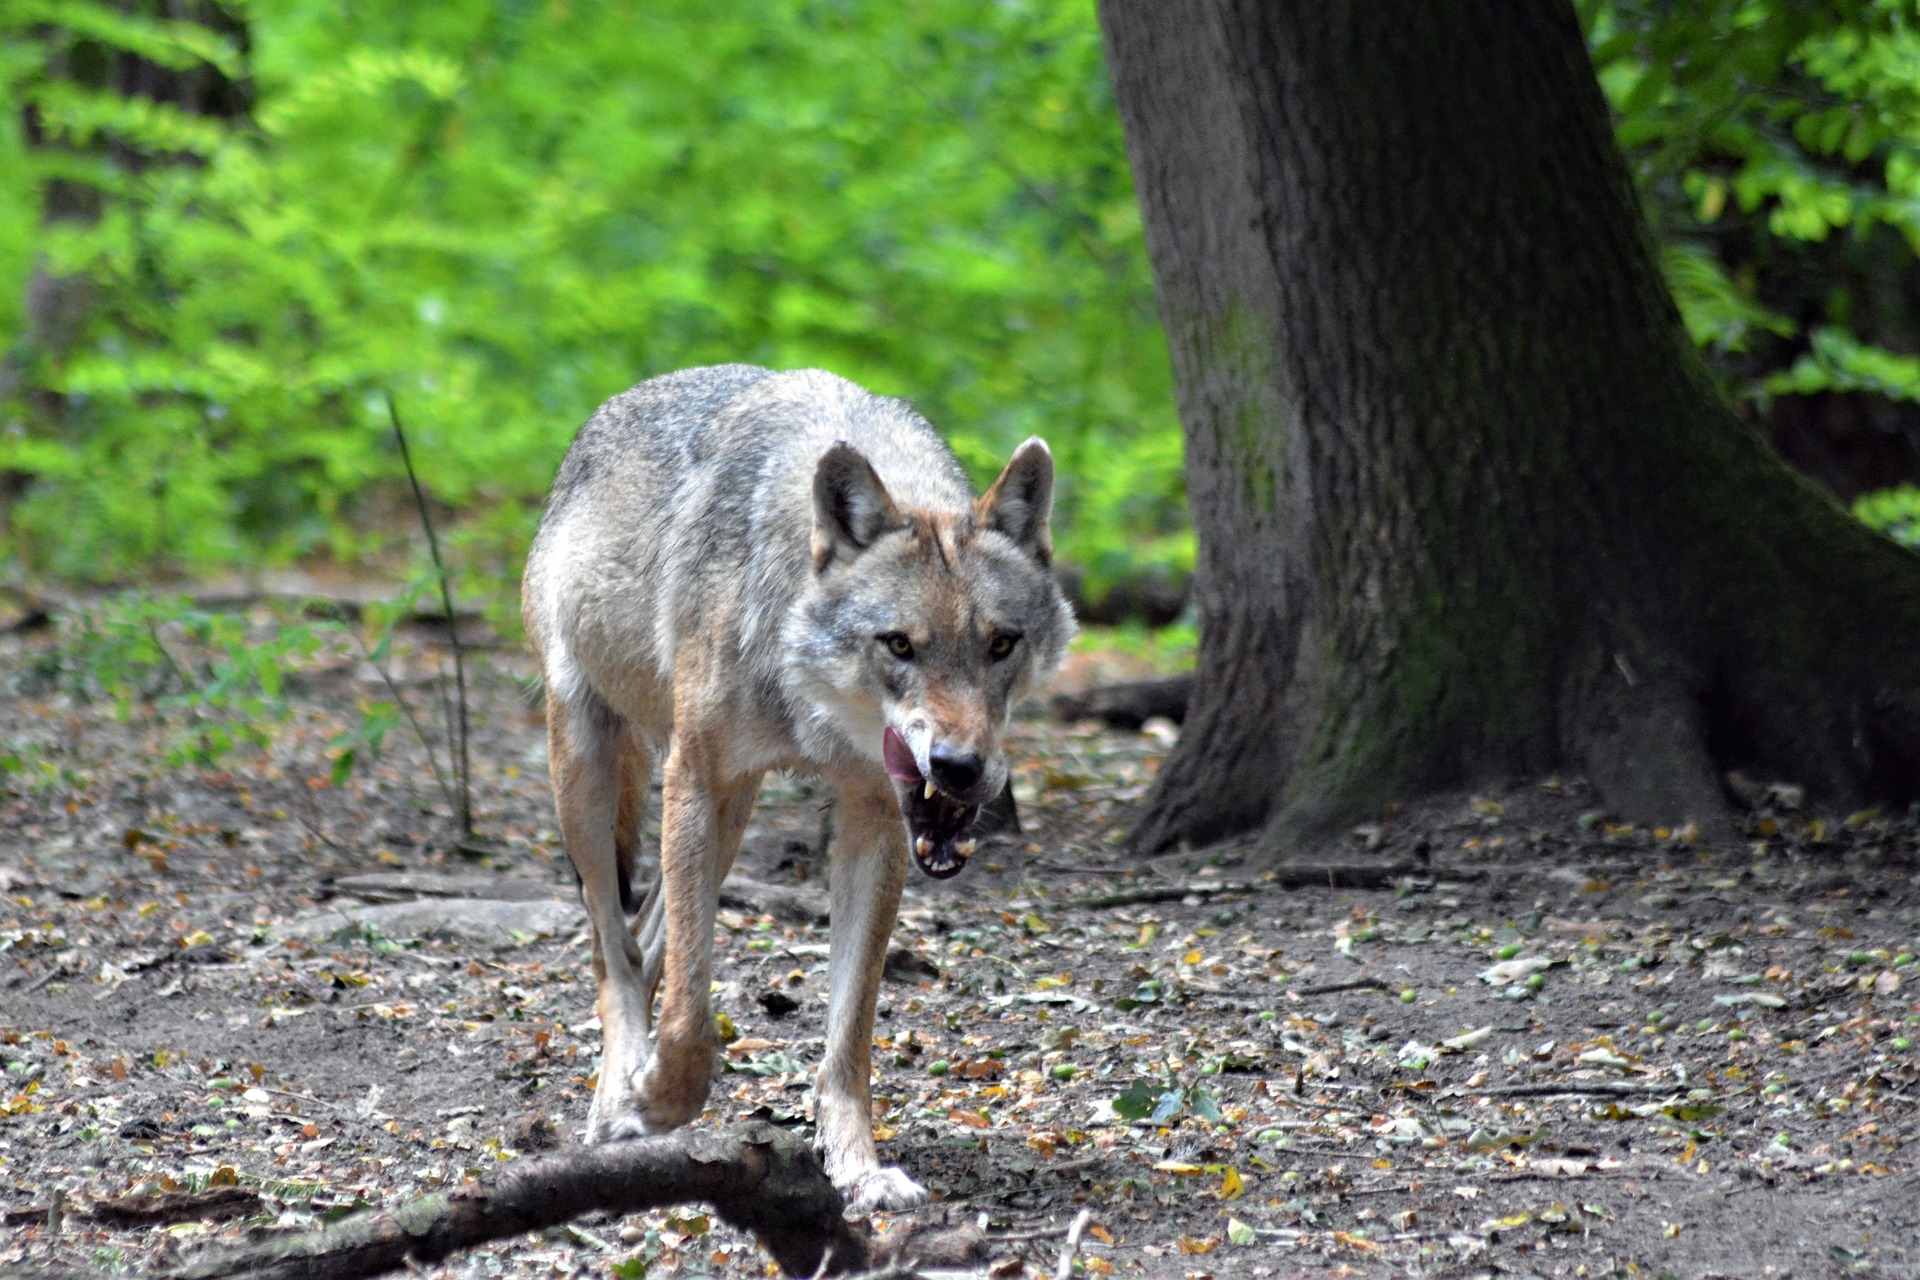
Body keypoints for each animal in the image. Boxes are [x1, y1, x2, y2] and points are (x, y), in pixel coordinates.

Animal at [518, 362, 1075, 1212]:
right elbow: (693, 1020)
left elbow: (849, 1034)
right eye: (898, 645)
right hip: (591, 766)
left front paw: (857, 1167)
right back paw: (616, 1098)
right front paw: (654, 1104)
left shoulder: (874, 817)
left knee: (647, 938)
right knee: (612, 949)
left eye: (1002, 644)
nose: (959, 767)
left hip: (731, 814)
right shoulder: (695, 778)